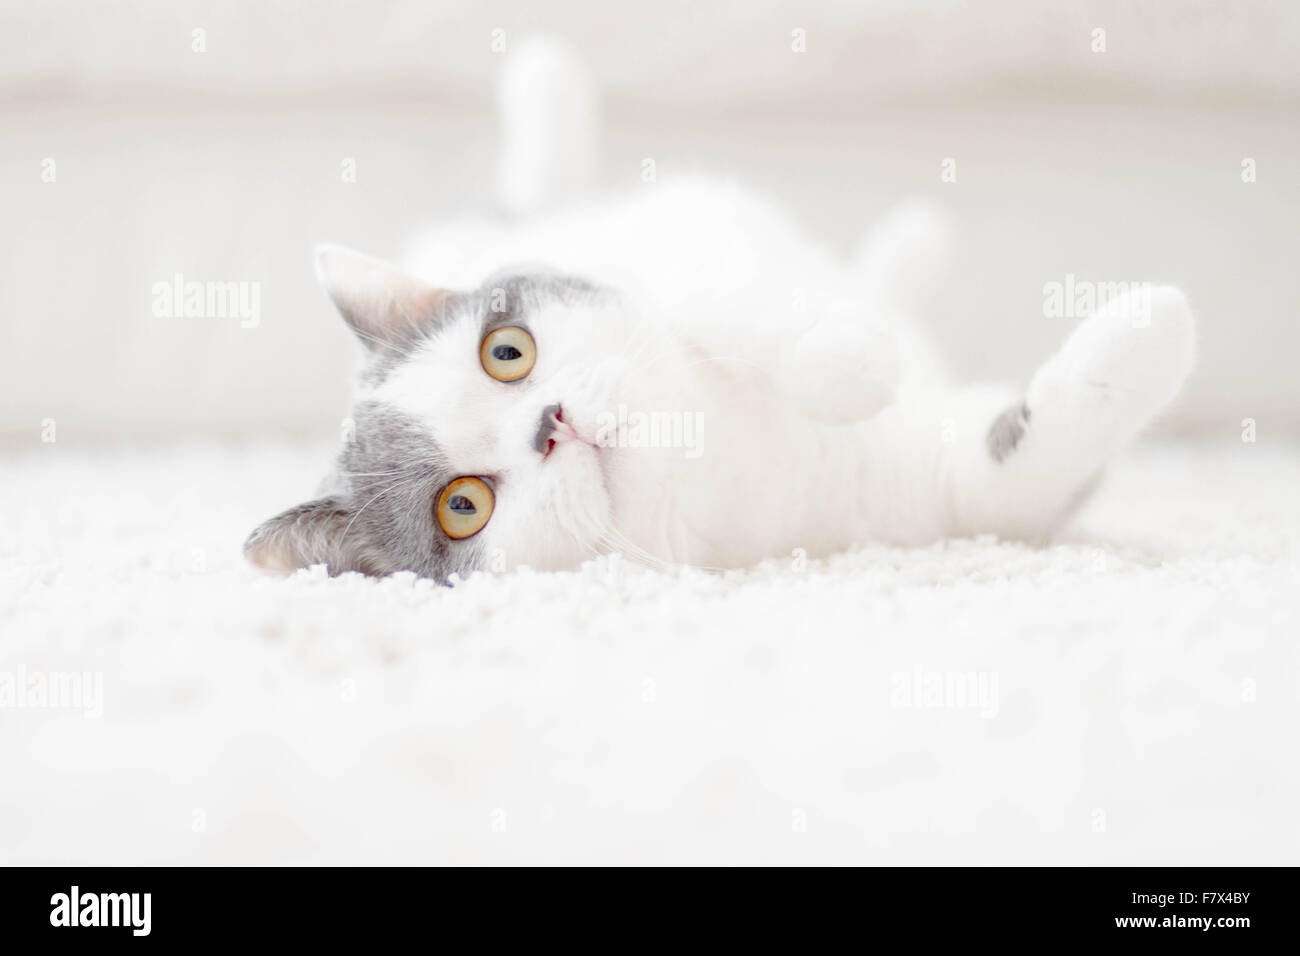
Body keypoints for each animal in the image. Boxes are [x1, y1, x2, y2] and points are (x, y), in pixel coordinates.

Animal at [244, 37, 1196, 582]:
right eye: (461, 507)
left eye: (505, 351)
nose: (552, 424)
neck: (717, 453)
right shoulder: (953, 502)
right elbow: (1023, 464)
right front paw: (1154, 333)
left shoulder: (678, 263)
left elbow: (745, 308)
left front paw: (850, 359)